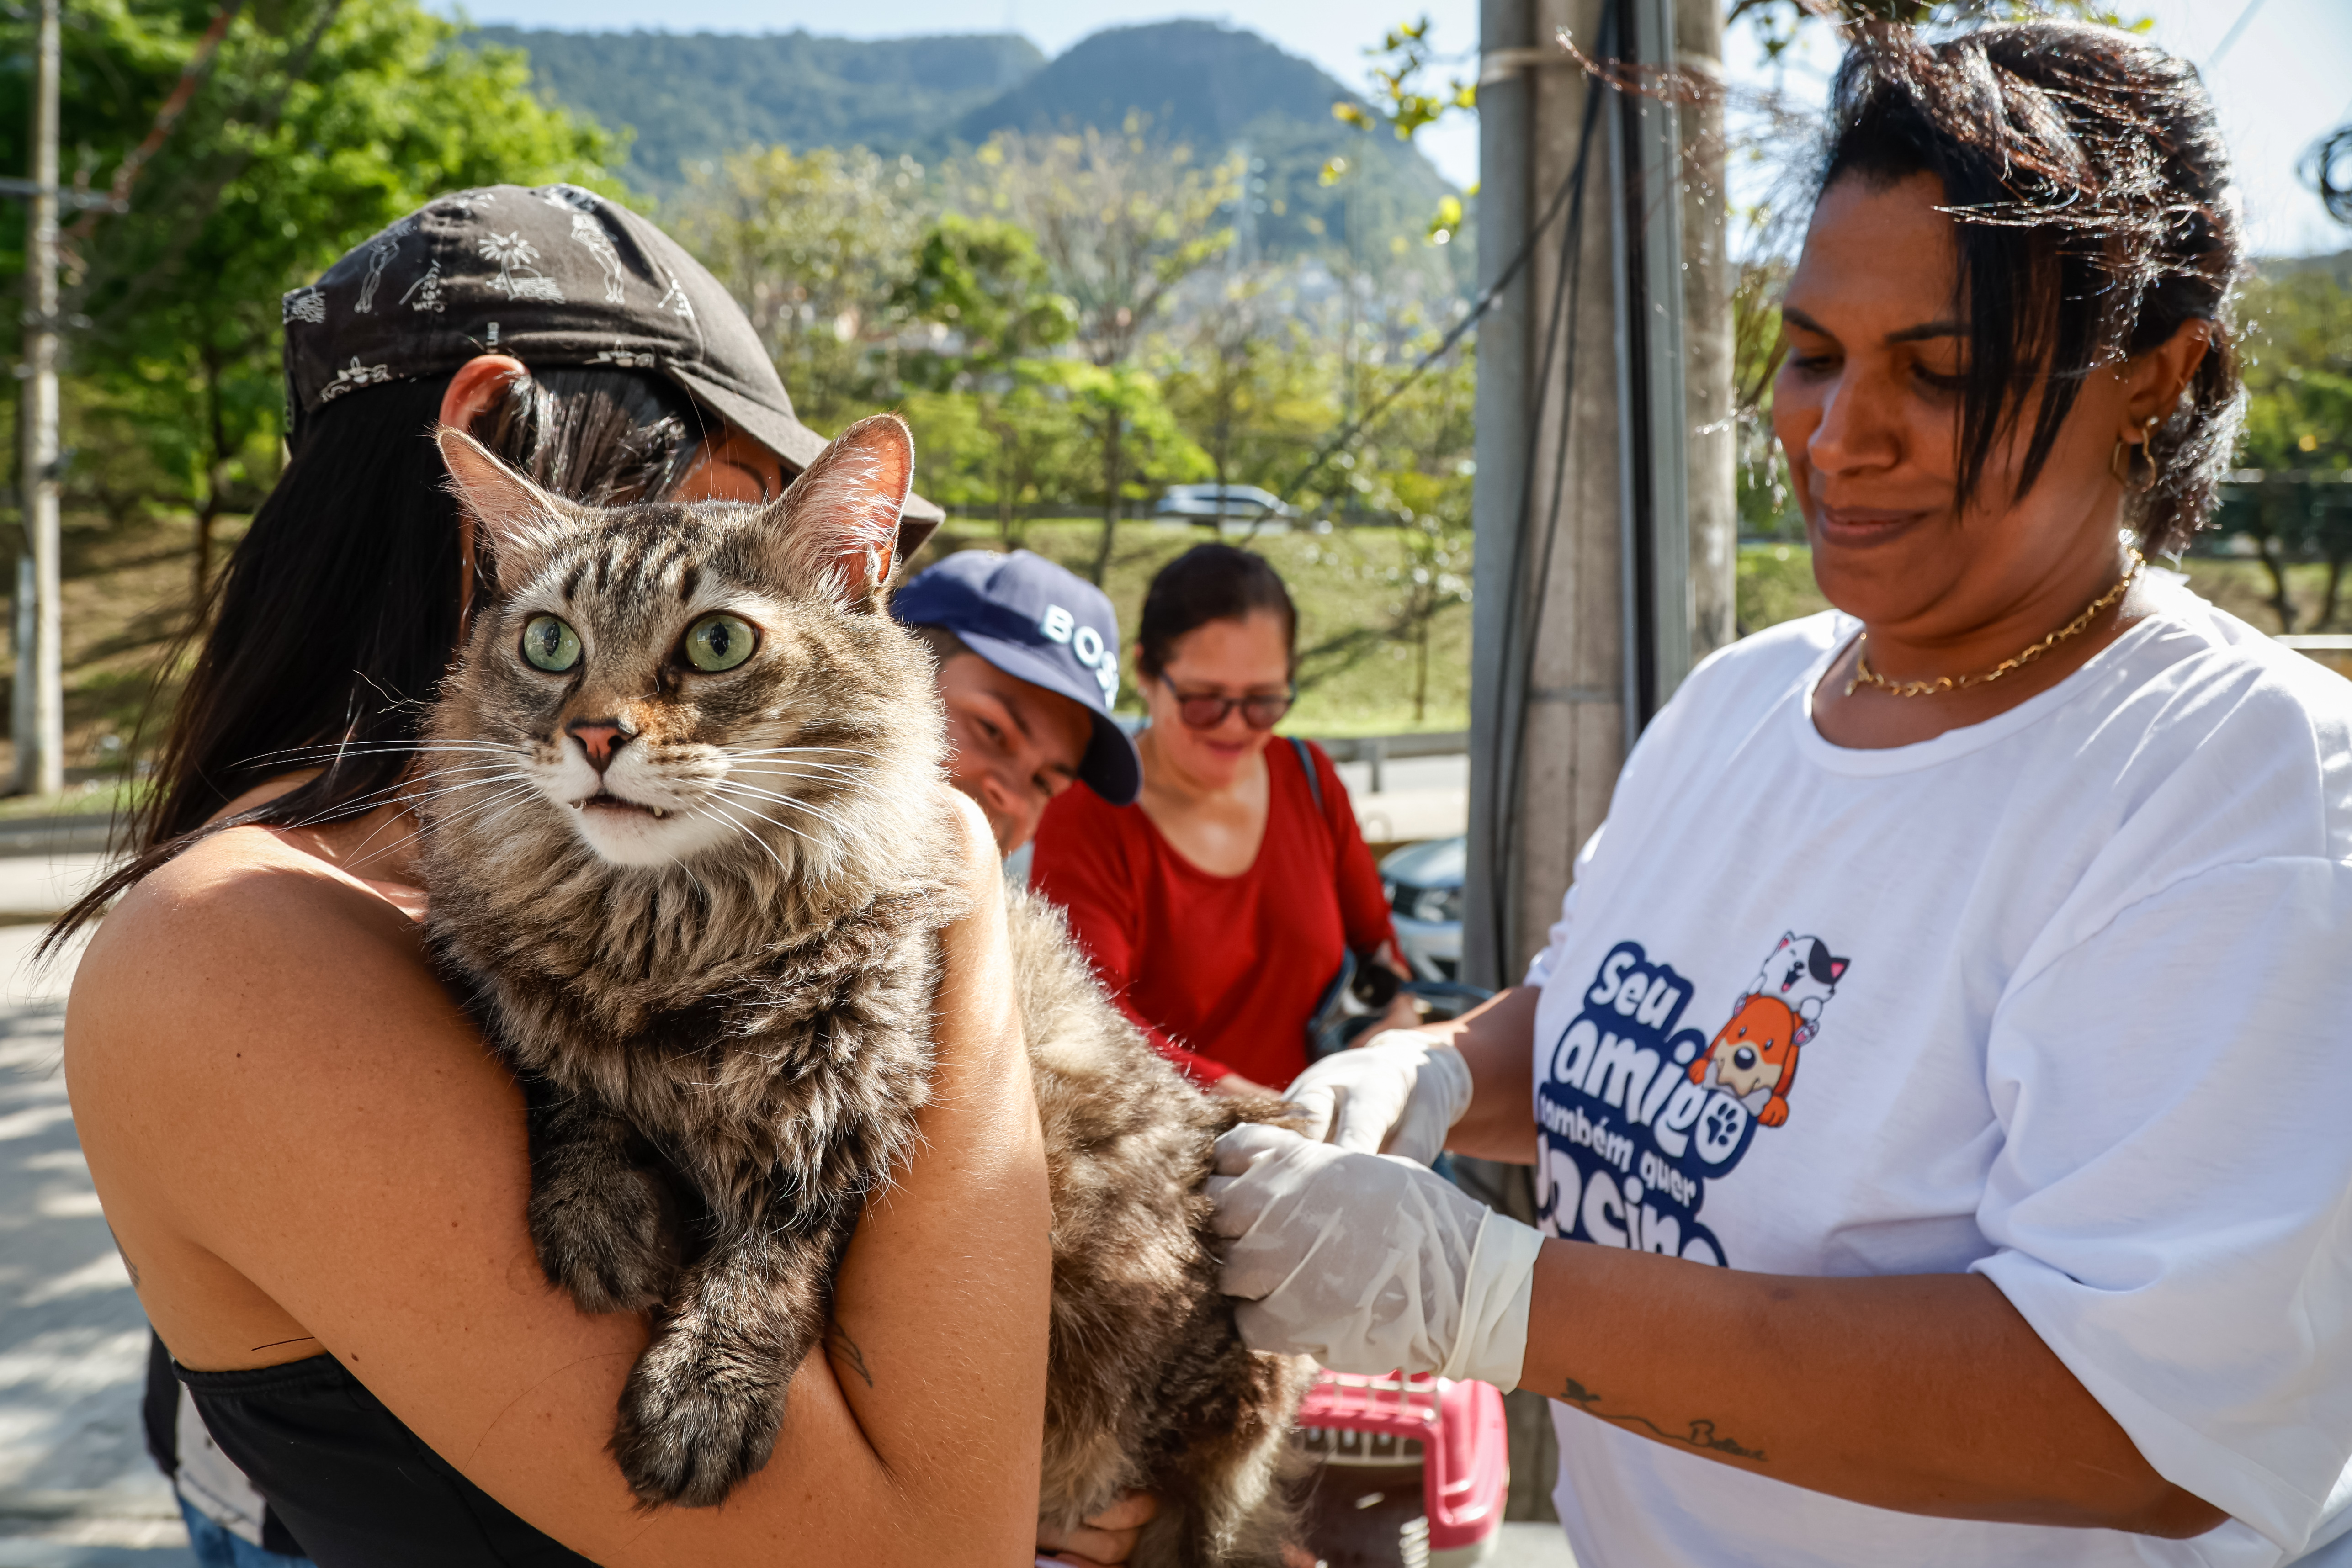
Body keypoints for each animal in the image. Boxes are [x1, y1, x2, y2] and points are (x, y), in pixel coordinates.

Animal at [419, 411, 1307, 1561]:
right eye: (549, 644)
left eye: (717, 643)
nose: (596, 734)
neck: (666, 936)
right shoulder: (509, 986)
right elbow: (567, 1079)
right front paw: (599, 1211)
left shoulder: (849, 1100)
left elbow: (773, 1260)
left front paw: (704, 1396)